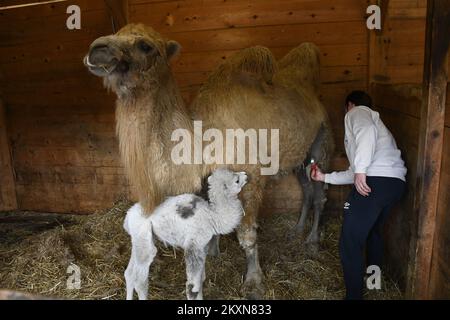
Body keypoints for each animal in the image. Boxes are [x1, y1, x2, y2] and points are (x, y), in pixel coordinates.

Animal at [124, 170, 246, 300]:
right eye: (237, 180)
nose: (245, 174)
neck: (213, 217)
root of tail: (128, 216)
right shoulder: (193, 245)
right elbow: (192, 287)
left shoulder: (203, 246)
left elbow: (201, 280)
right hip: (143, 234)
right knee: (140, 281)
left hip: (139, 238)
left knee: (129, 273)